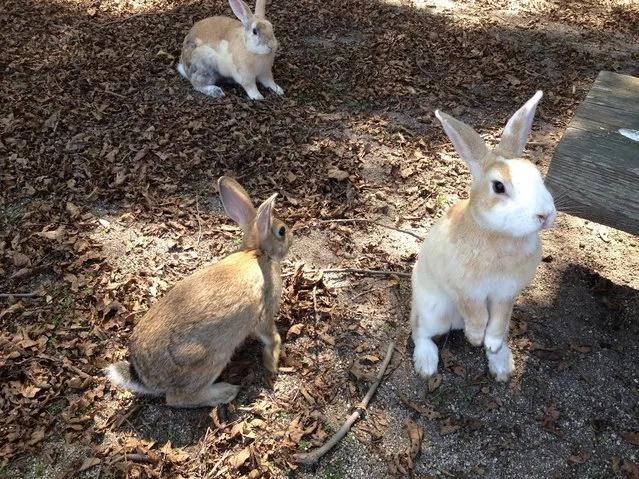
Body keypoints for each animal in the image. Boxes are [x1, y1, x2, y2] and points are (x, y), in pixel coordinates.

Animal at [107, 177, 292, 408]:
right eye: (282, 231)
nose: (291, 237)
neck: (257, 253)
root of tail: (145, 376)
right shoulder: (264, 312)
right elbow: (271, 337)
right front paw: (272, 363)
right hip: (209, 358)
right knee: (178, 398)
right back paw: (226, 392)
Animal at [412, 90, 556, 382]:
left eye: (537, 174)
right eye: (499, 187)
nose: (545, 214)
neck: (499, 236)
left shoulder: (506, 294)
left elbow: (498, 322)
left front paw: (491, 346)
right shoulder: (467, 292)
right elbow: (477, 315)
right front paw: (476, 338)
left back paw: (501, 362)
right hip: (434, 312)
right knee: (420, 331)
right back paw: (426, 364)